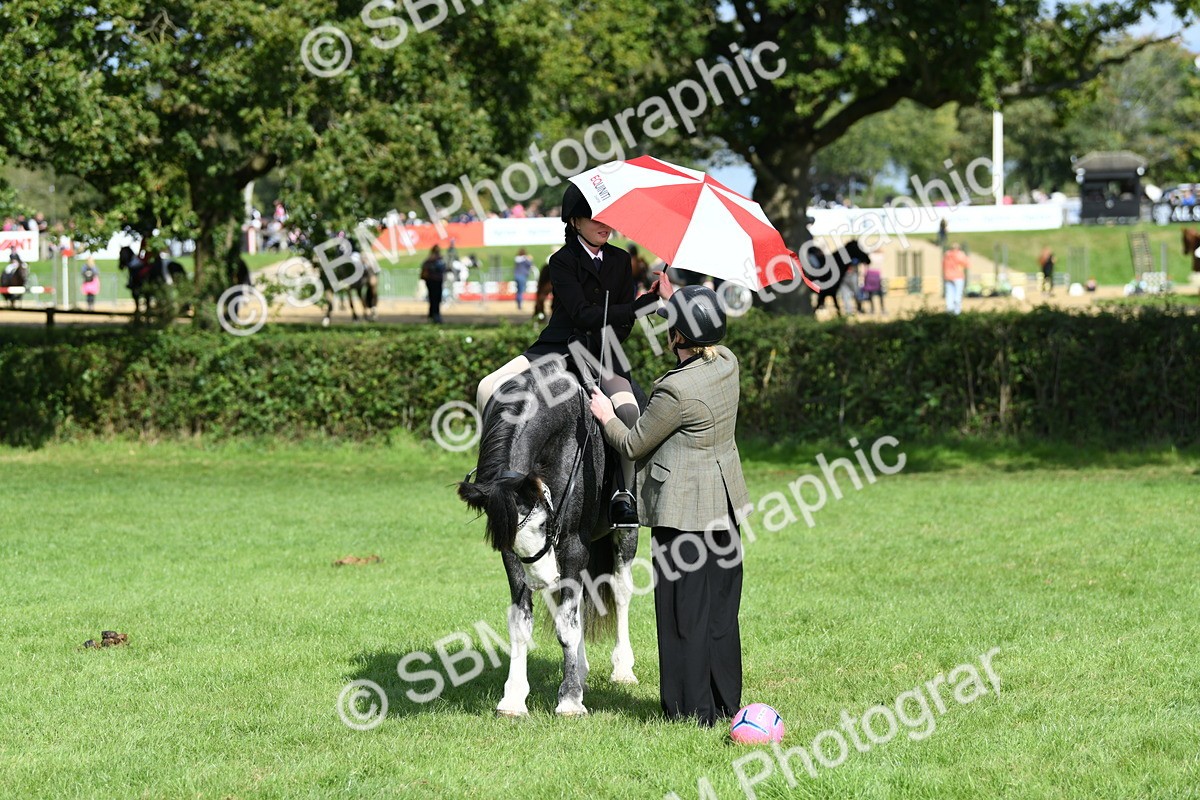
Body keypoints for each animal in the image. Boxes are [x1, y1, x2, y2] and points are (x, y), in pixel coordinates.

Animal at [457, 361, 640, 716]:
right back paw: (581, 670)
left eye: (543, 523)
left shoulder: (571, 544)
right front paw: (514, 698)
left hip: (623, 535)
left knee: (620, 592)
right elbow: (521, 621)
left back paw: (623, 668)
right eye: (509, 538)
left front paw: (569, 700)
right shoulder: (515, 555)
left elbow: (568, 624)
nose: (543, 579)